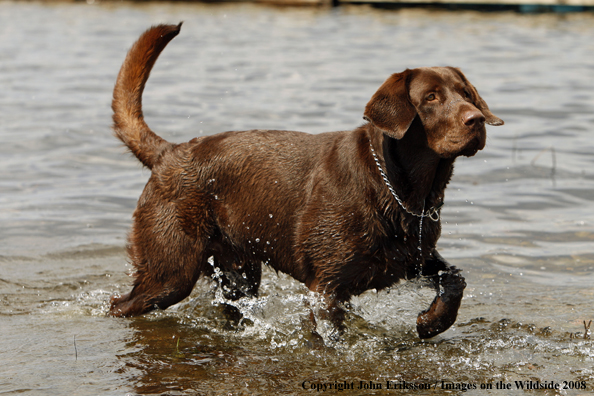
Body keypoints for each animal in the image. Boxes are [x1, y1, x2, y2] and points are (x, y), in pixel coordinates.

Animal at [110, 24, 500, 340]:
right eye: (431, 97)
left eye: (466, 93)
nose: (477, 120)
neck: (399, 189)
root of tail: (170, 152)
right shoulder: (325, 287)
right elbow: (330, 337)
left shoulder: (416, 254)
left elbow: (455, 280)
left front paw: (430, 322)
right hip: (170, 270)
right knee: (121, 304)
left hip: (238, 272)